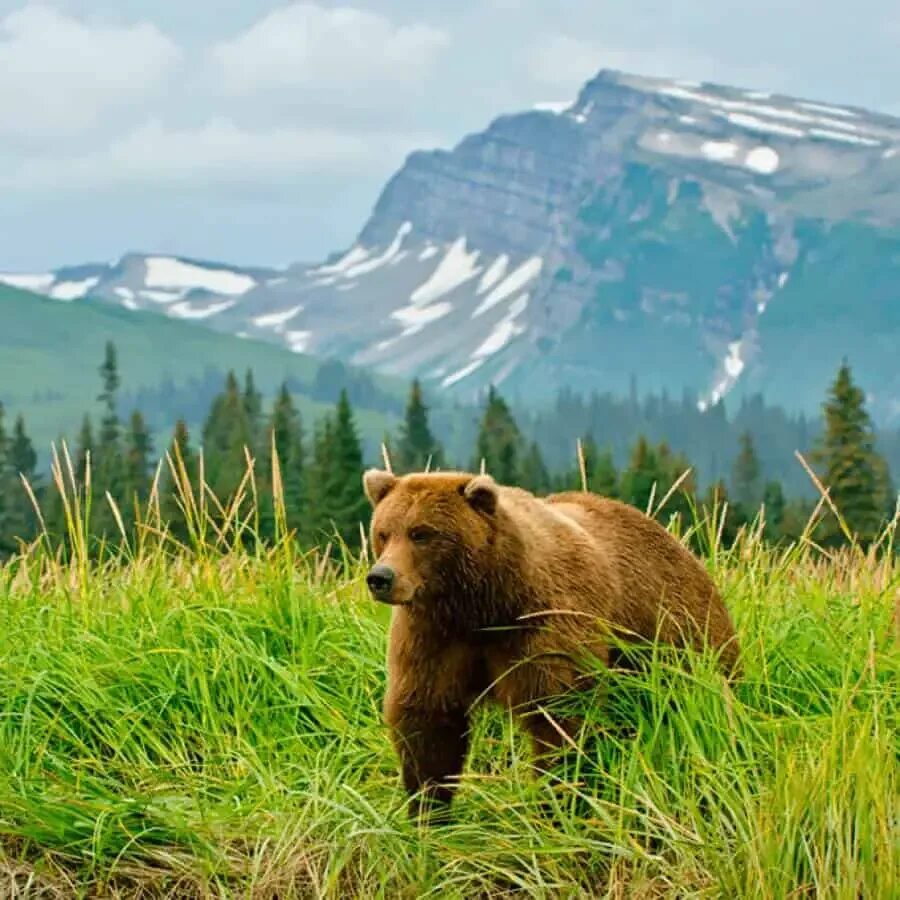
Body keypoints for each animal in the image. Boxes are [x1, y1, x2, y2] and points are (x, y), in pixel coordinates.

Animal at [360, 474, 740, 820]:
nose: (381, 577)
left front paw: (555, 799)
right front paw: (428, 811)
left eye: (422, 533)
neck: (485, 605)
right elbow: (428, 720)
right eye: (384, 532)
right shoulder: (434, 636)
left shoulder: (547, 626)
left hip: (676, 634)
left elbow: (559, 714)